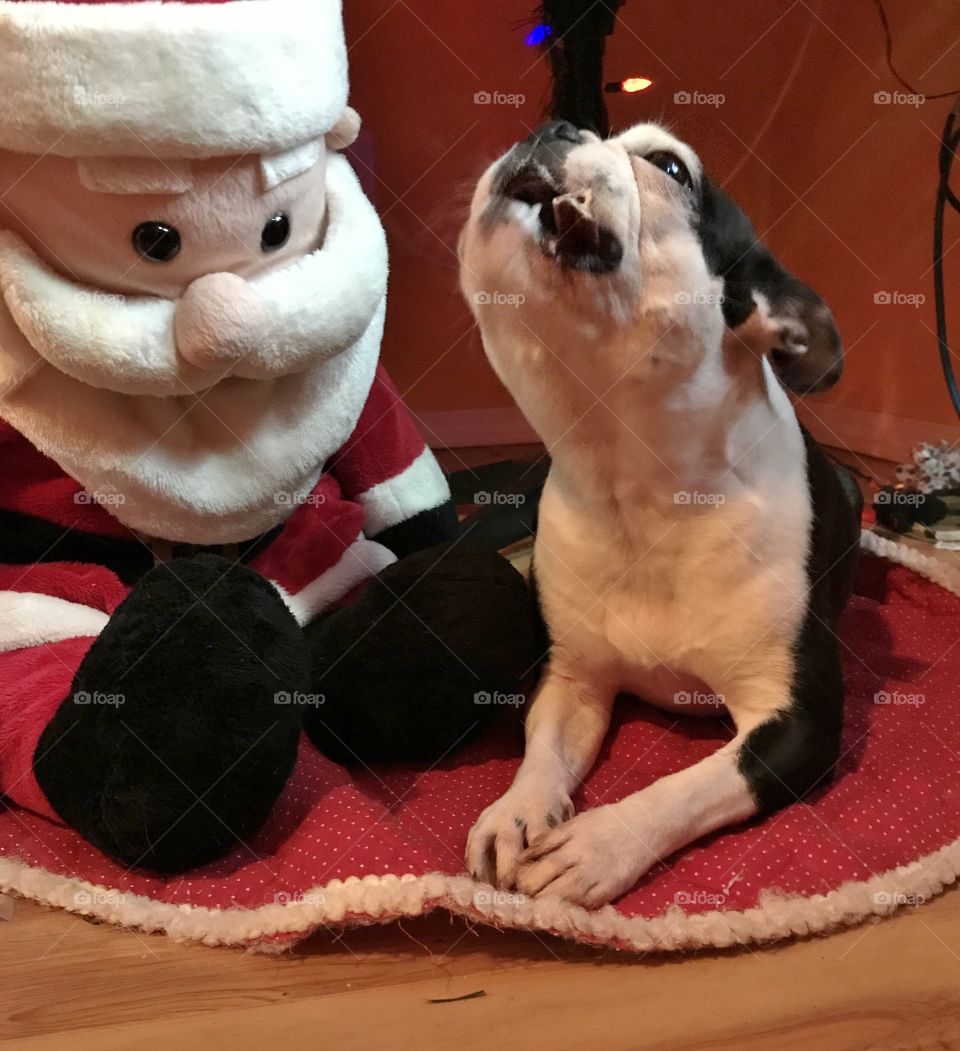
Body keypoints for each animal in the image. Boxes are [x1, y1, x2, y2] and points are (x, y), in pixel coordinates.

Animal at [456, 119, 862, 908]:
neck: (638, 488)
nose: (553, 125)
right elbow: (542, 751)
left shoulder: (798, 722)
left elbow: (689, 786)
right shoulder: (573, 681)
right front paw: (517, 810)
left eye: (669, 167)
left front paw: (599, 843)